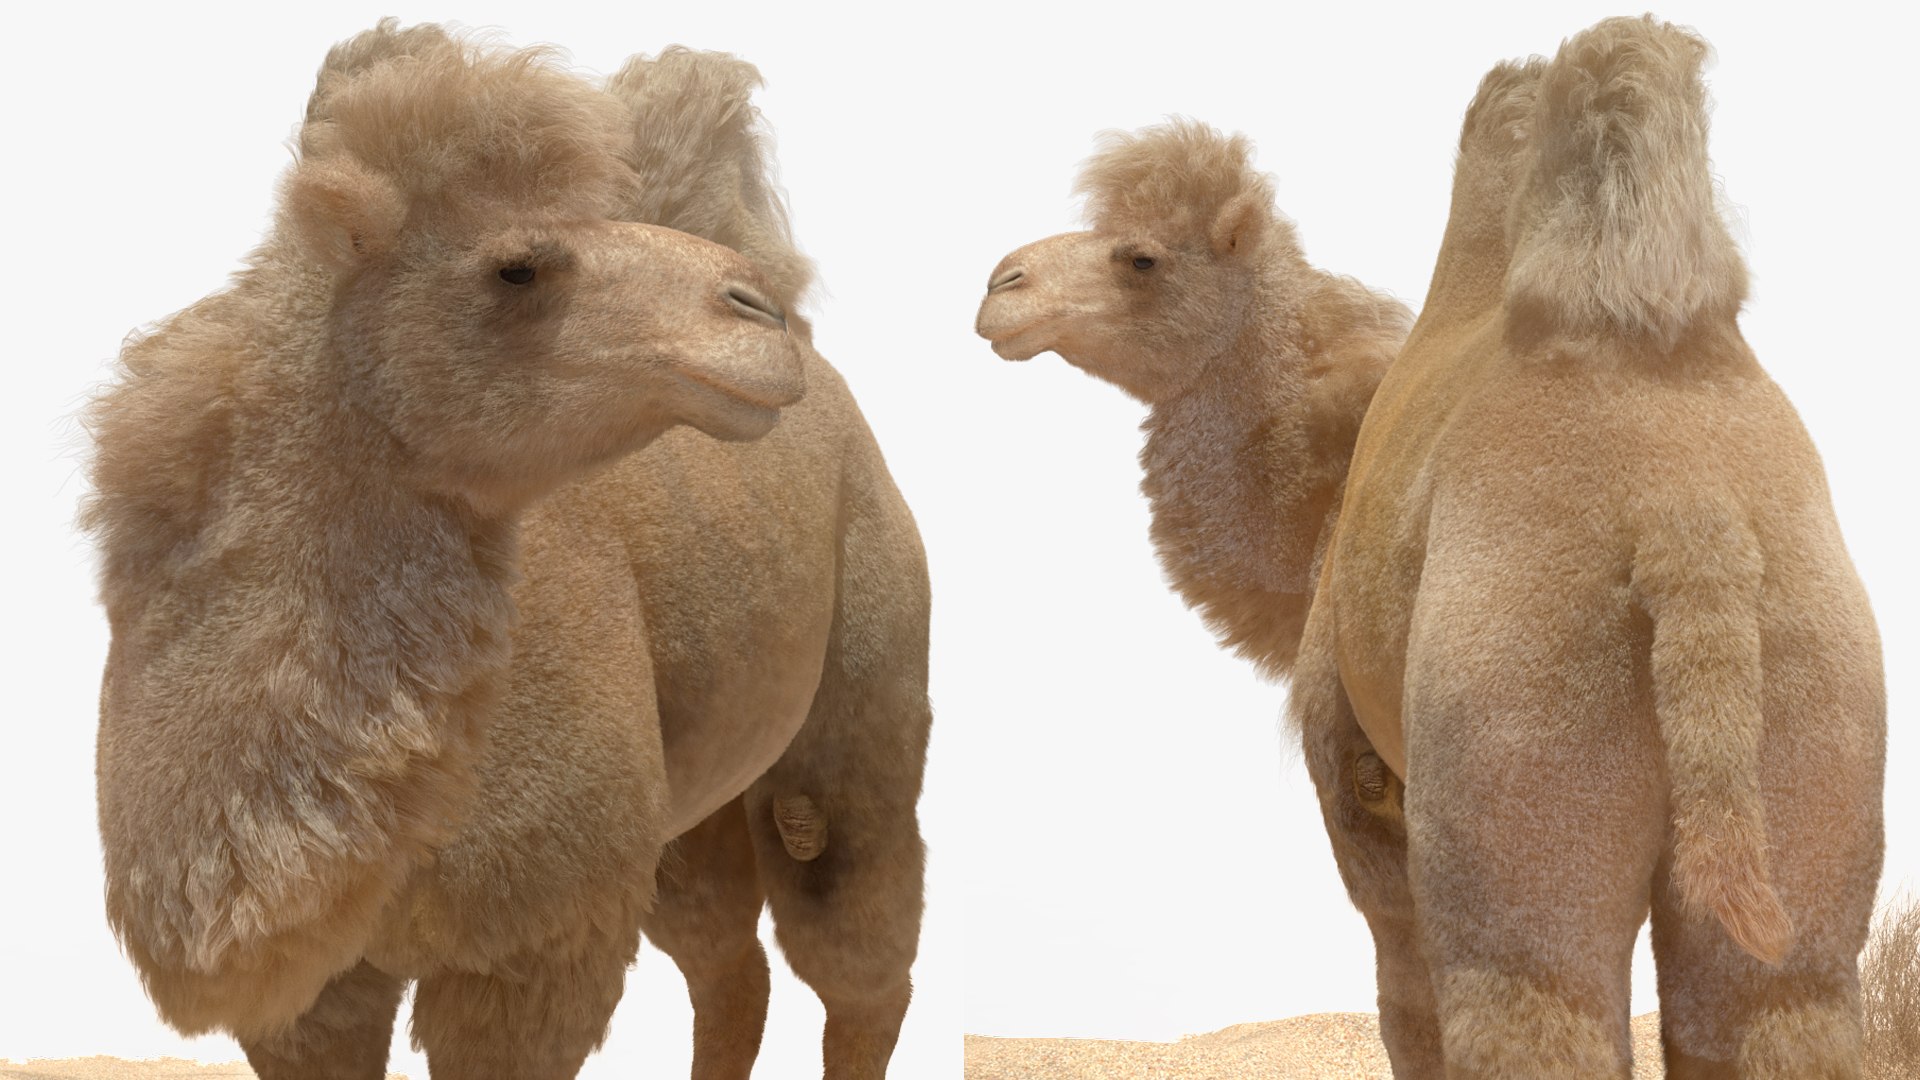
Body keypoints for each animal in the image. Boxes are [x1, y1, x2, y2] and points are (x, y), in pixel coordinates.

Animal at [85, 22, 929, 1080]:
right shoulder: (309, 998)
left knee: (859, 950)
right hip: (685, 810)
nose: (754, 310)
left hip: (860, 699)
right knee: (733, 963)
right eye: (517, 266)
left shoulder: (528, 950)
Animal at [1301, 16, 1885, 1077]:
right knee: (1773, 997)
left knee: (1522, 987)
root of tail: (1686, 517)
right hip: (1820, 697)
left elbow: (1402, 975)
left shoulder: (1359, 780)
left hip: (1520, 738)